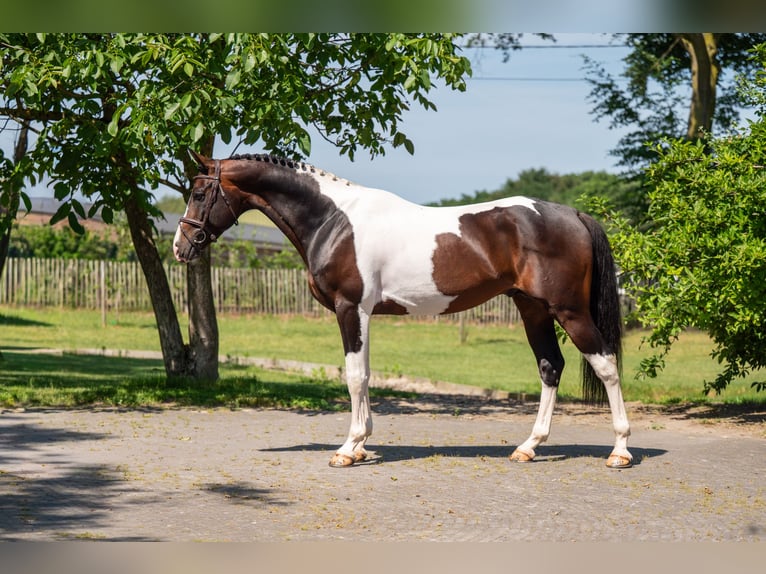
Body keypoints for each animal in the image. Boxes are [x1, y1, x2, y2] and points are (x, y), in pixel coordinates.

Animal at [174, 151, 633, 469]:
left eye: (199, 193)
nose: (181, 247)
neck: (334, 220)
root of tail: (573, 213)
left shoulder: (350, 309)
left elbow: (355, 376)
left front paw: (347, 449)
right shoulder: (361, 314)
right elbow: (365, 374)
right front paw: (362, 446)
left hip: (569, 310)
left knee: (606, 364)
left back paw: (620, 451)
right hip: (533, 309)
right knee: (550, 366)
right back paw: (528, 447)